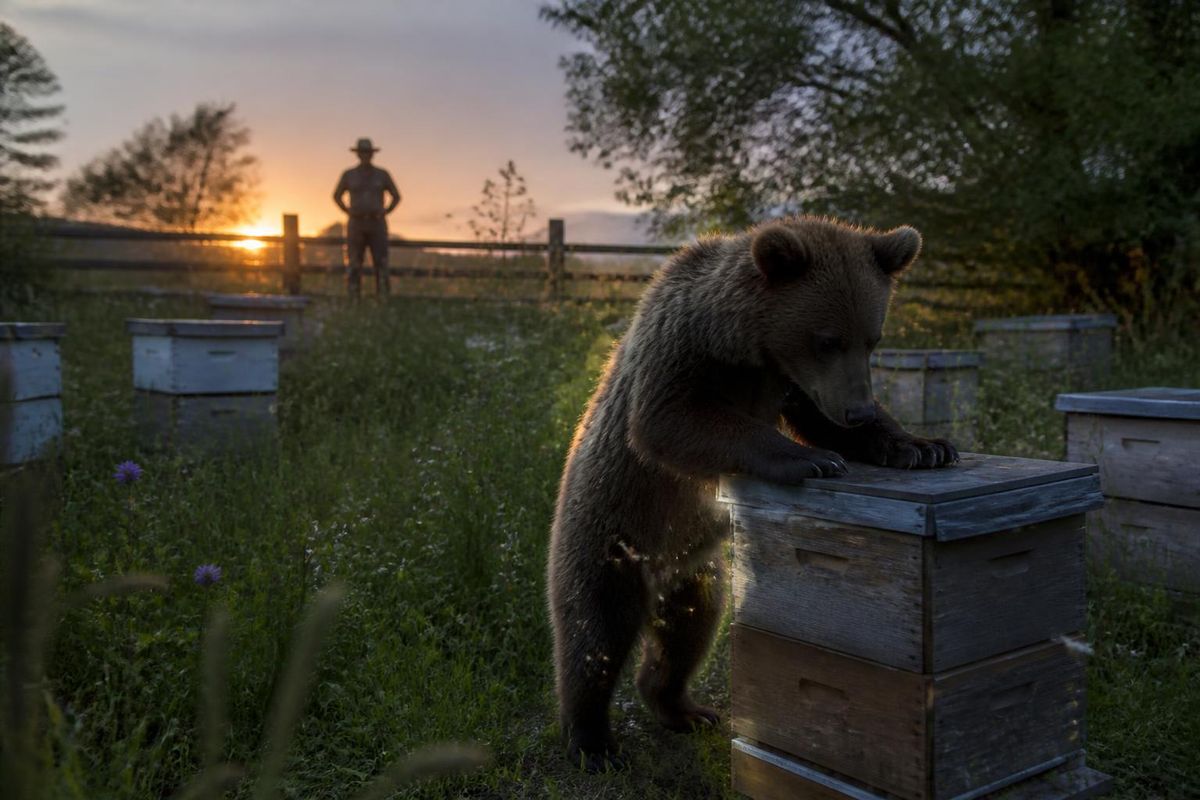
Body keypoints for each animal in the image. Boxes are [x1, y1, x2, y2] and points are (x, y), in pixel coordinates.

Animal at [546, 216, 958, 771]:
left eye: (872, 339)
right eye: (827, 339)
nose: (858, 410)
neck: (744, 345)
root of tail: (658, 572)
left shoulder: (792, 385)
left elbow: (817, 414)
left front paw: (923, 446)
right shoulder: (681, 352)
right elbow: (671, 419)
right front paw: (811, 458)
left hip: (698, 573)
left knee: (687, 633)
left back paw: (684, 708)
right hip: (608, 531)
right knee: (594, 633)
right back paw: (592, 742)